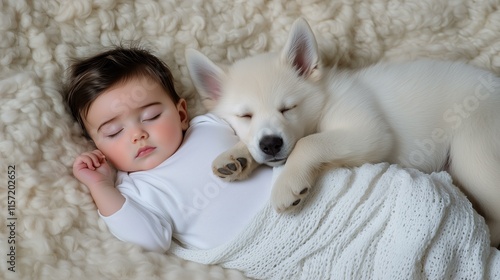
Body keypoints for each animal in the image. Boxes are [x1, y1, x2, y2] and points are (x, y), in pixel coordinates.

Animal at [187, 17, 500, 246]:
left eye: (288, 108)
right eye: (245, 116)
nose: (271, 144)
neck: (324, 99)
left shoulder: (369, 131)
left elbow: (308, 143)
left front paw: (288, 183)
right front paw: (235, 157)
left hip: (474, 153)